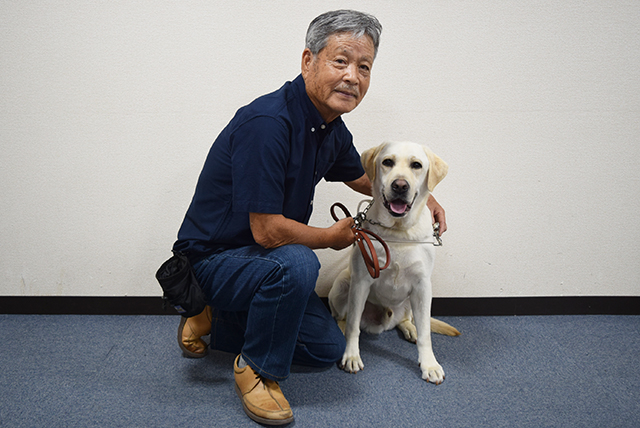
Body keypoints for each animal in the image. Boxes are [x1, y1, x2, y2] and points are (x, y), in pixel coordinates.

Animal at [330, 140, 460, 384]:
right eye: (387, 162)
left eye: (416, 165)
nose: (400, 186)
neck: (398, 231)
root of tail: (383, 322)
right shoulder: (361, 281)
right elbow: (353, 326)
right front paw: (351, 356)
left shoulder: (422, 285)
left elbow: (426, 333)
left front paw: (429, 364)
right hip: (342, 285)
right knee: (342, 318)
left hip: (411, 300)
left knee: (409, 320)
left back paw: (410, 329)